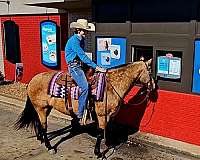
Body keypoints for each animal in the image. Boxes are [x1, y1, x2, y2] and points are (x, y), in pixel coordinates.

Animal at [14, 59, 155, 158]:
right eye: (149, 71)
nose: (154, 86)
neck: (111, 86)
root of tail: (32, 79)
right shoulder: (102, 115)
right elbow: (100, 132)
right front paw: (98, 153)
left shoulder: (109, 116)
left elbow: (107, 131)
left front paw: (109, 146)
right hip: (41, 108)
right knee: (43, 126)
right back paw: (49, 147)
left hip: (45, 108)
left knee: (38, 123)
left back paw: (41, 139)